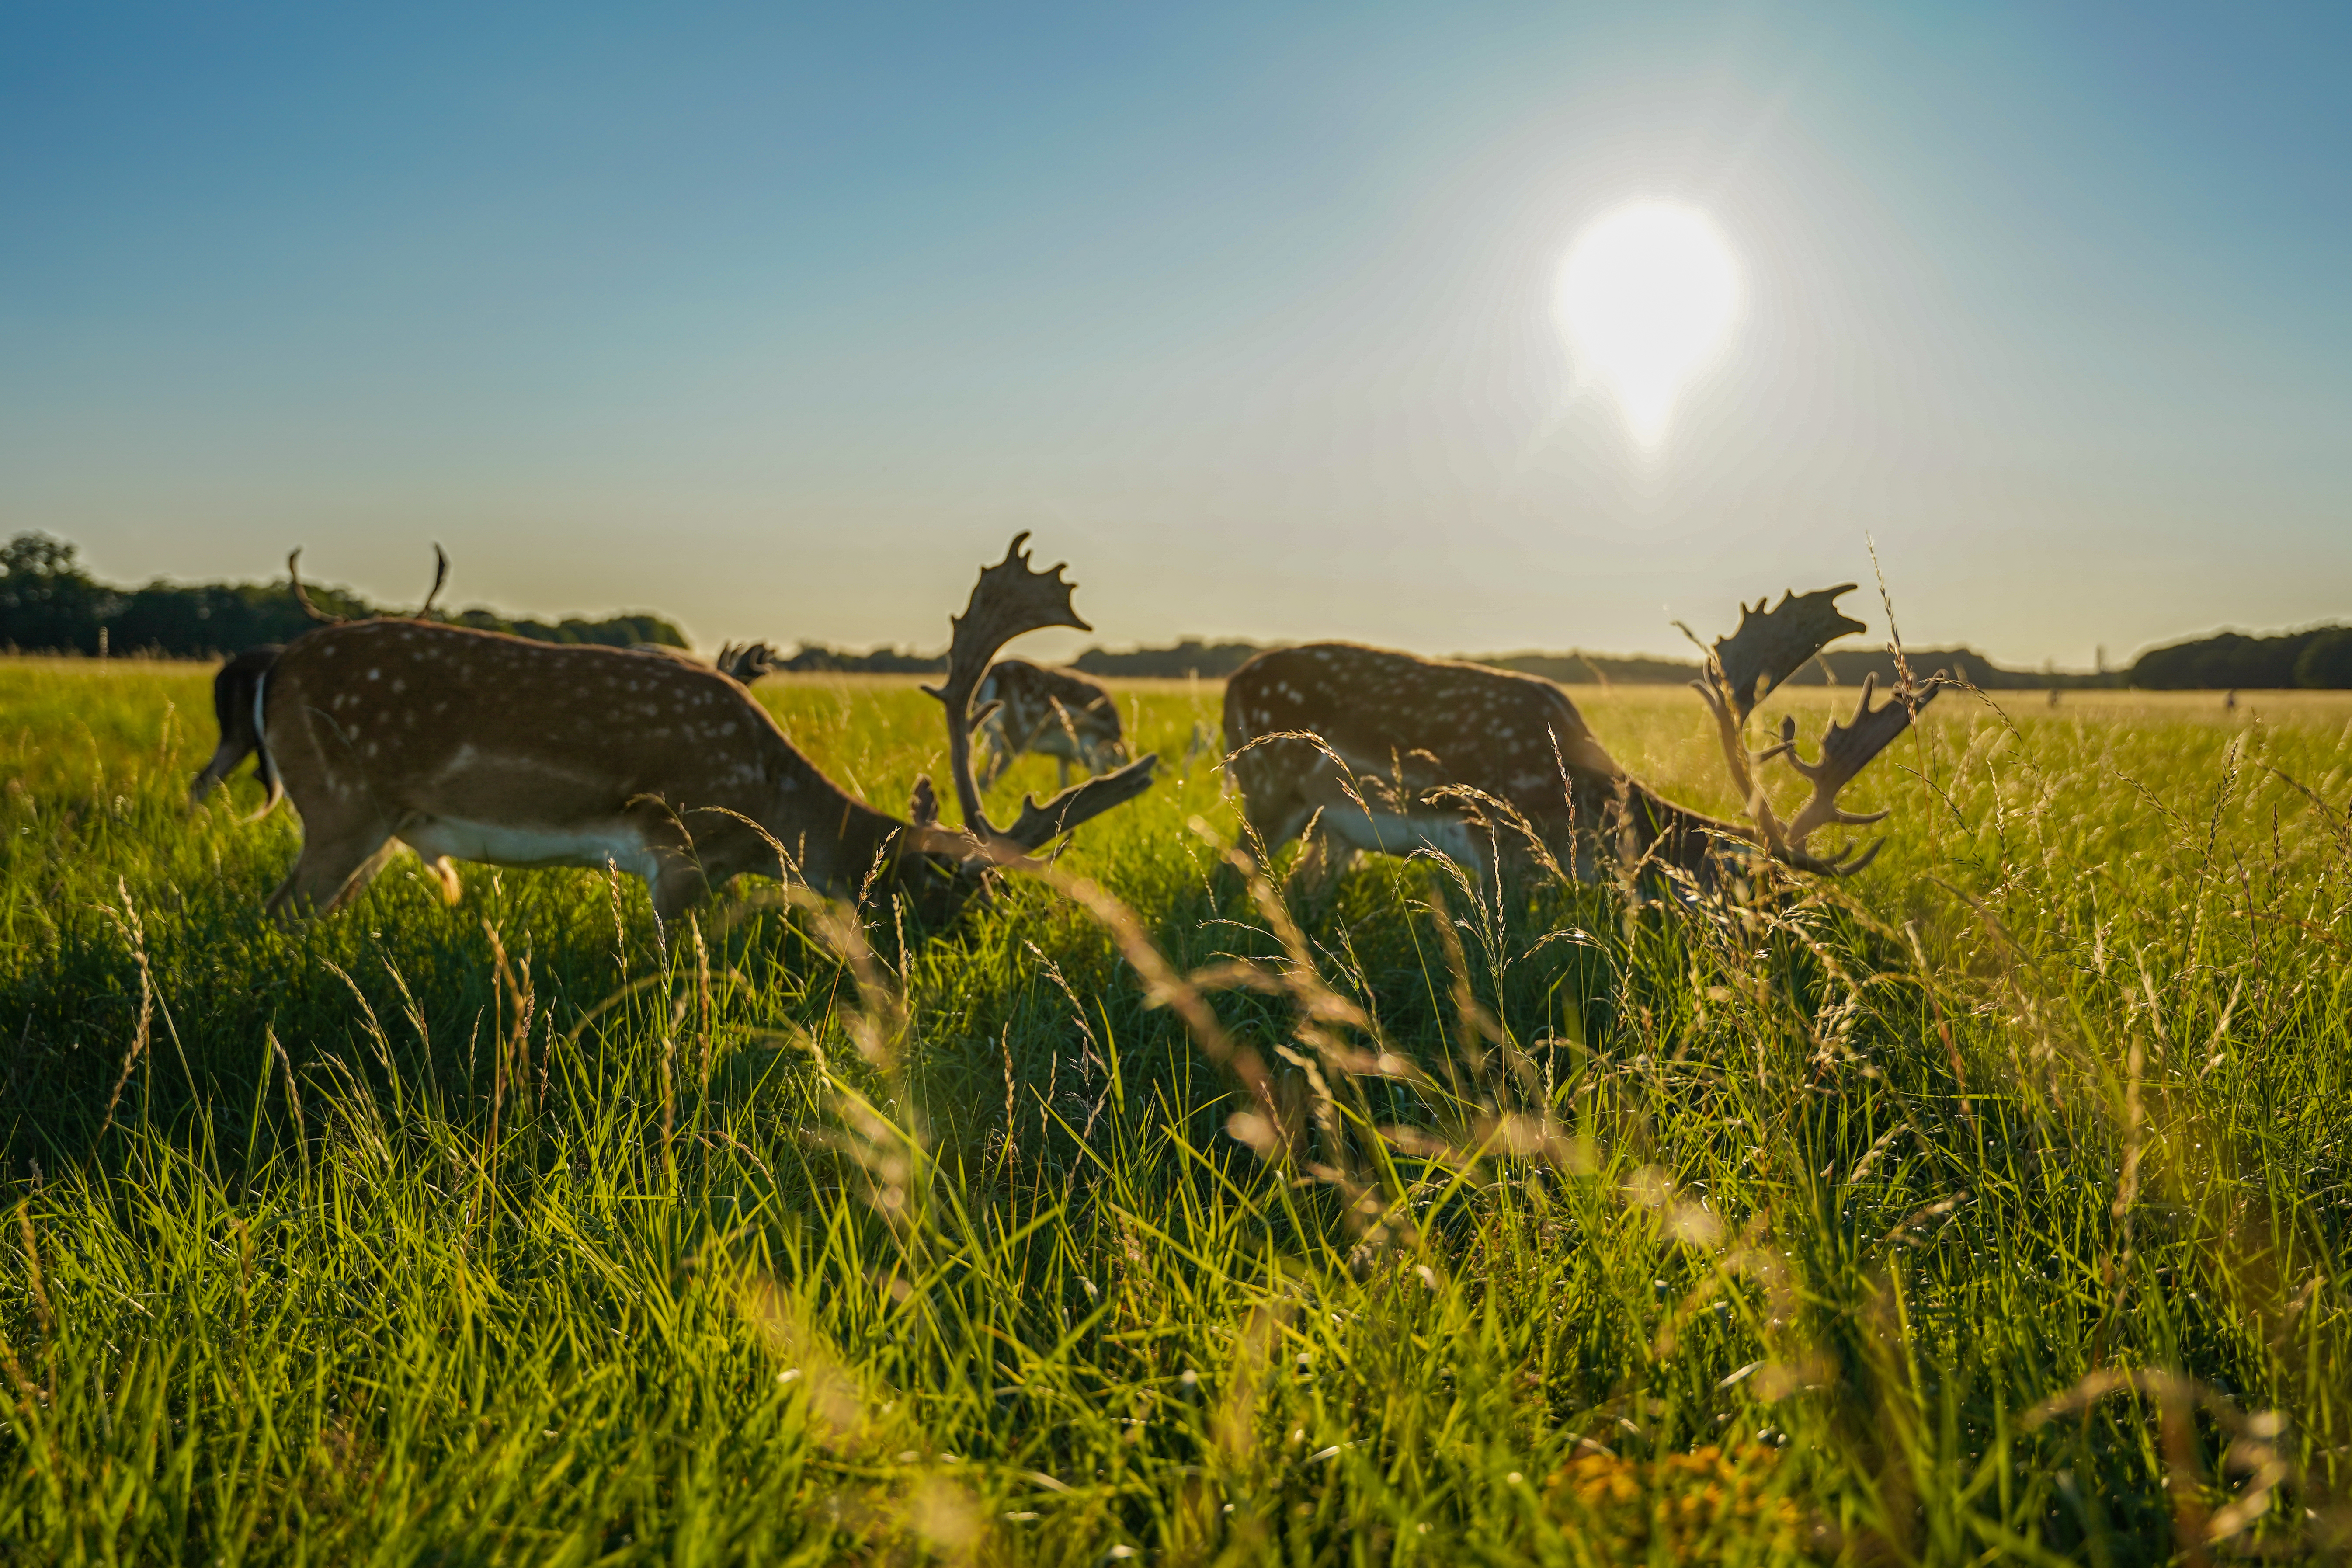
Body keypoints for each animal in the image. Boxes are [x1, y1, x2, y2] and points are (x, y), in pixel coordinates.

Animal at [1221, 585, 1942, 896]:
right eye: (1746, 892)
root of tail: (1231, 684)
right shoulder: (1499, 839)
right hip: (1265, 787)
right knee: (1235, 869)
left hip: (1331, 823)